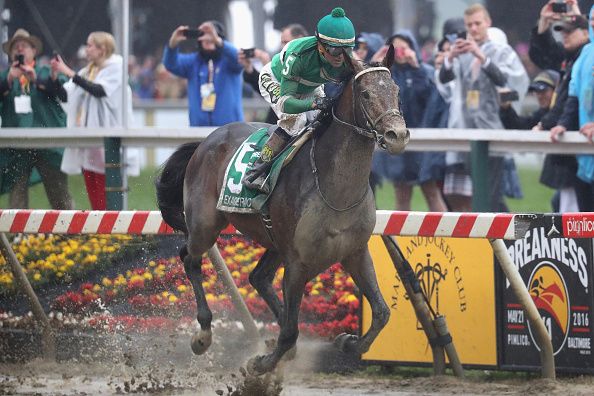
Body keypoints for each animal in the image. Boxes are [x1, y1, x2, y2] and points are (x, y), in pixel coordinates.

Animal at [154, 48, 408, 376]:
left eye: (397, 91)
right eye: (365, 93)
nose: (397, 135)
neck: (336, 189)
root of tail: (206, 140)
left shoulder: (355, 252)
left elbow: (381, 313)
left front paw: (348, 342)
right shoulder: (298, 262)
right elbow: (289, 332)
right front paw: (261, 363)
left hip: (273, 239)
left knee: (258, 277)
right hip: (204, 225)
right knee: (190, 259)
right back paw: (203, 335)